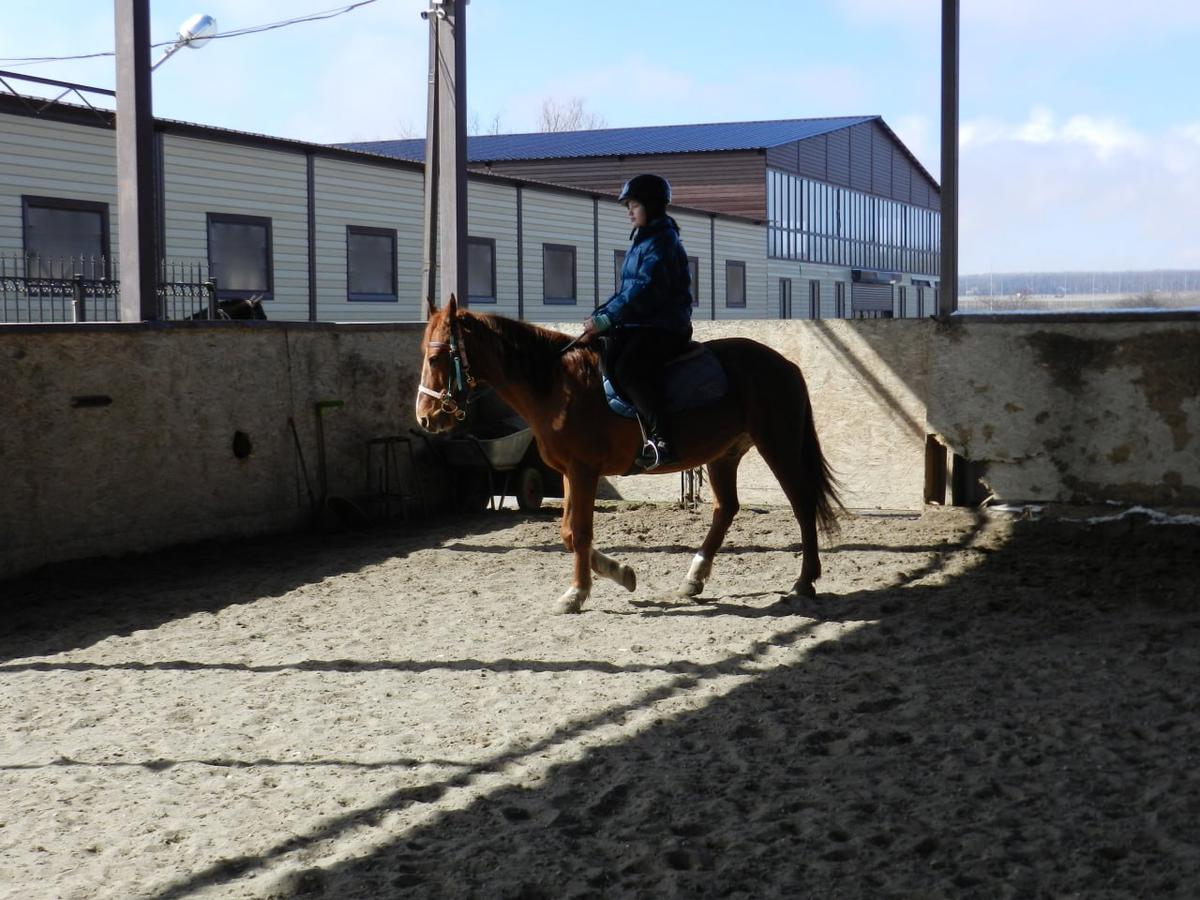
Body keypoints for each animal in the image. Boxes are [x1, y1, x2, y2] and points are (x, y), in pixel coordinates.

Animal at [417, 300, 840, 619]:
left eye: (437, 357)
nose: (425, 417)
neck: (556, 386)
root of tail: (784, 365)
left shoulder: (583, 471)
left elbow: (580, 533)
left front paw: (576, 593)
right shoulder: (571, 473)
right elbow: (568, 534)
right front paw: (620, 572)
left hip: (778, 445)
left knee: (802, 505)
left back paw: (804, 582)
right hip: (724, 454)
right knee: (727, 508)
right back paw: (694, 577)